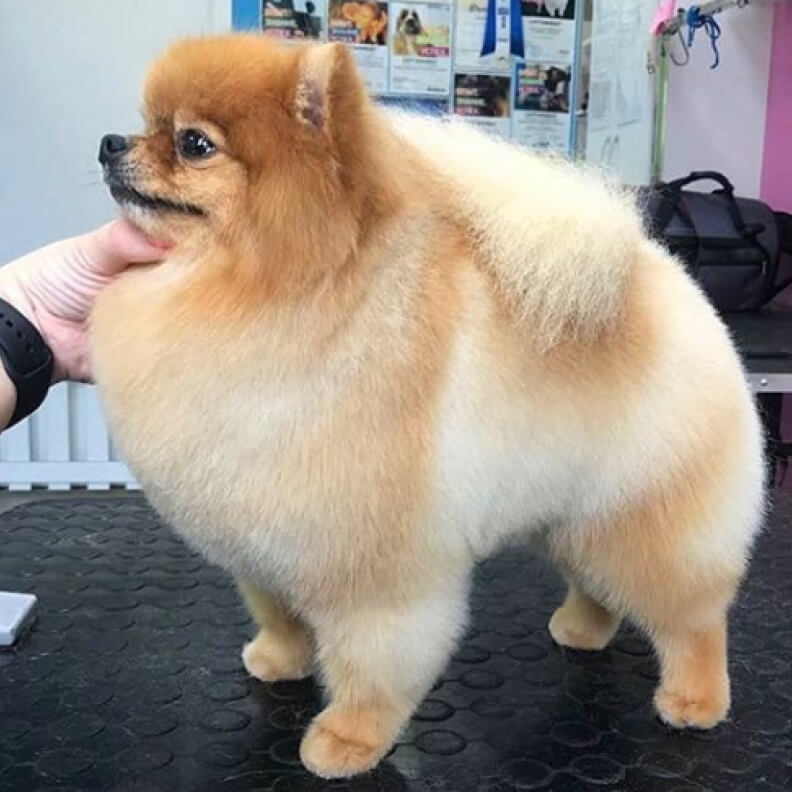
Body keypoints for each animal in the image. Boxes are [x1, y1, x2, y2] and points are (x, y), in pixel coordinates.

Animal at [92, 36, 764, 779]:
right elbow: (280, 614)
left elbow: (371, 662)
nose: (109, 142)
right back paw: (582, 629)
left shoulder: (375, 571)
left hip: (648, 515)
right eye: (146, 124)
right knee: (597, 579)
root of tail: (661, 276)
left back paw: (695, 697)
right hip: (578, 514)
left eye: (193, 144)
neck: (284, 294)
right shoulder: (267, 541)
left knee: (692, 614)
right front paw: (278, 659)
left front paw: (348, 738)